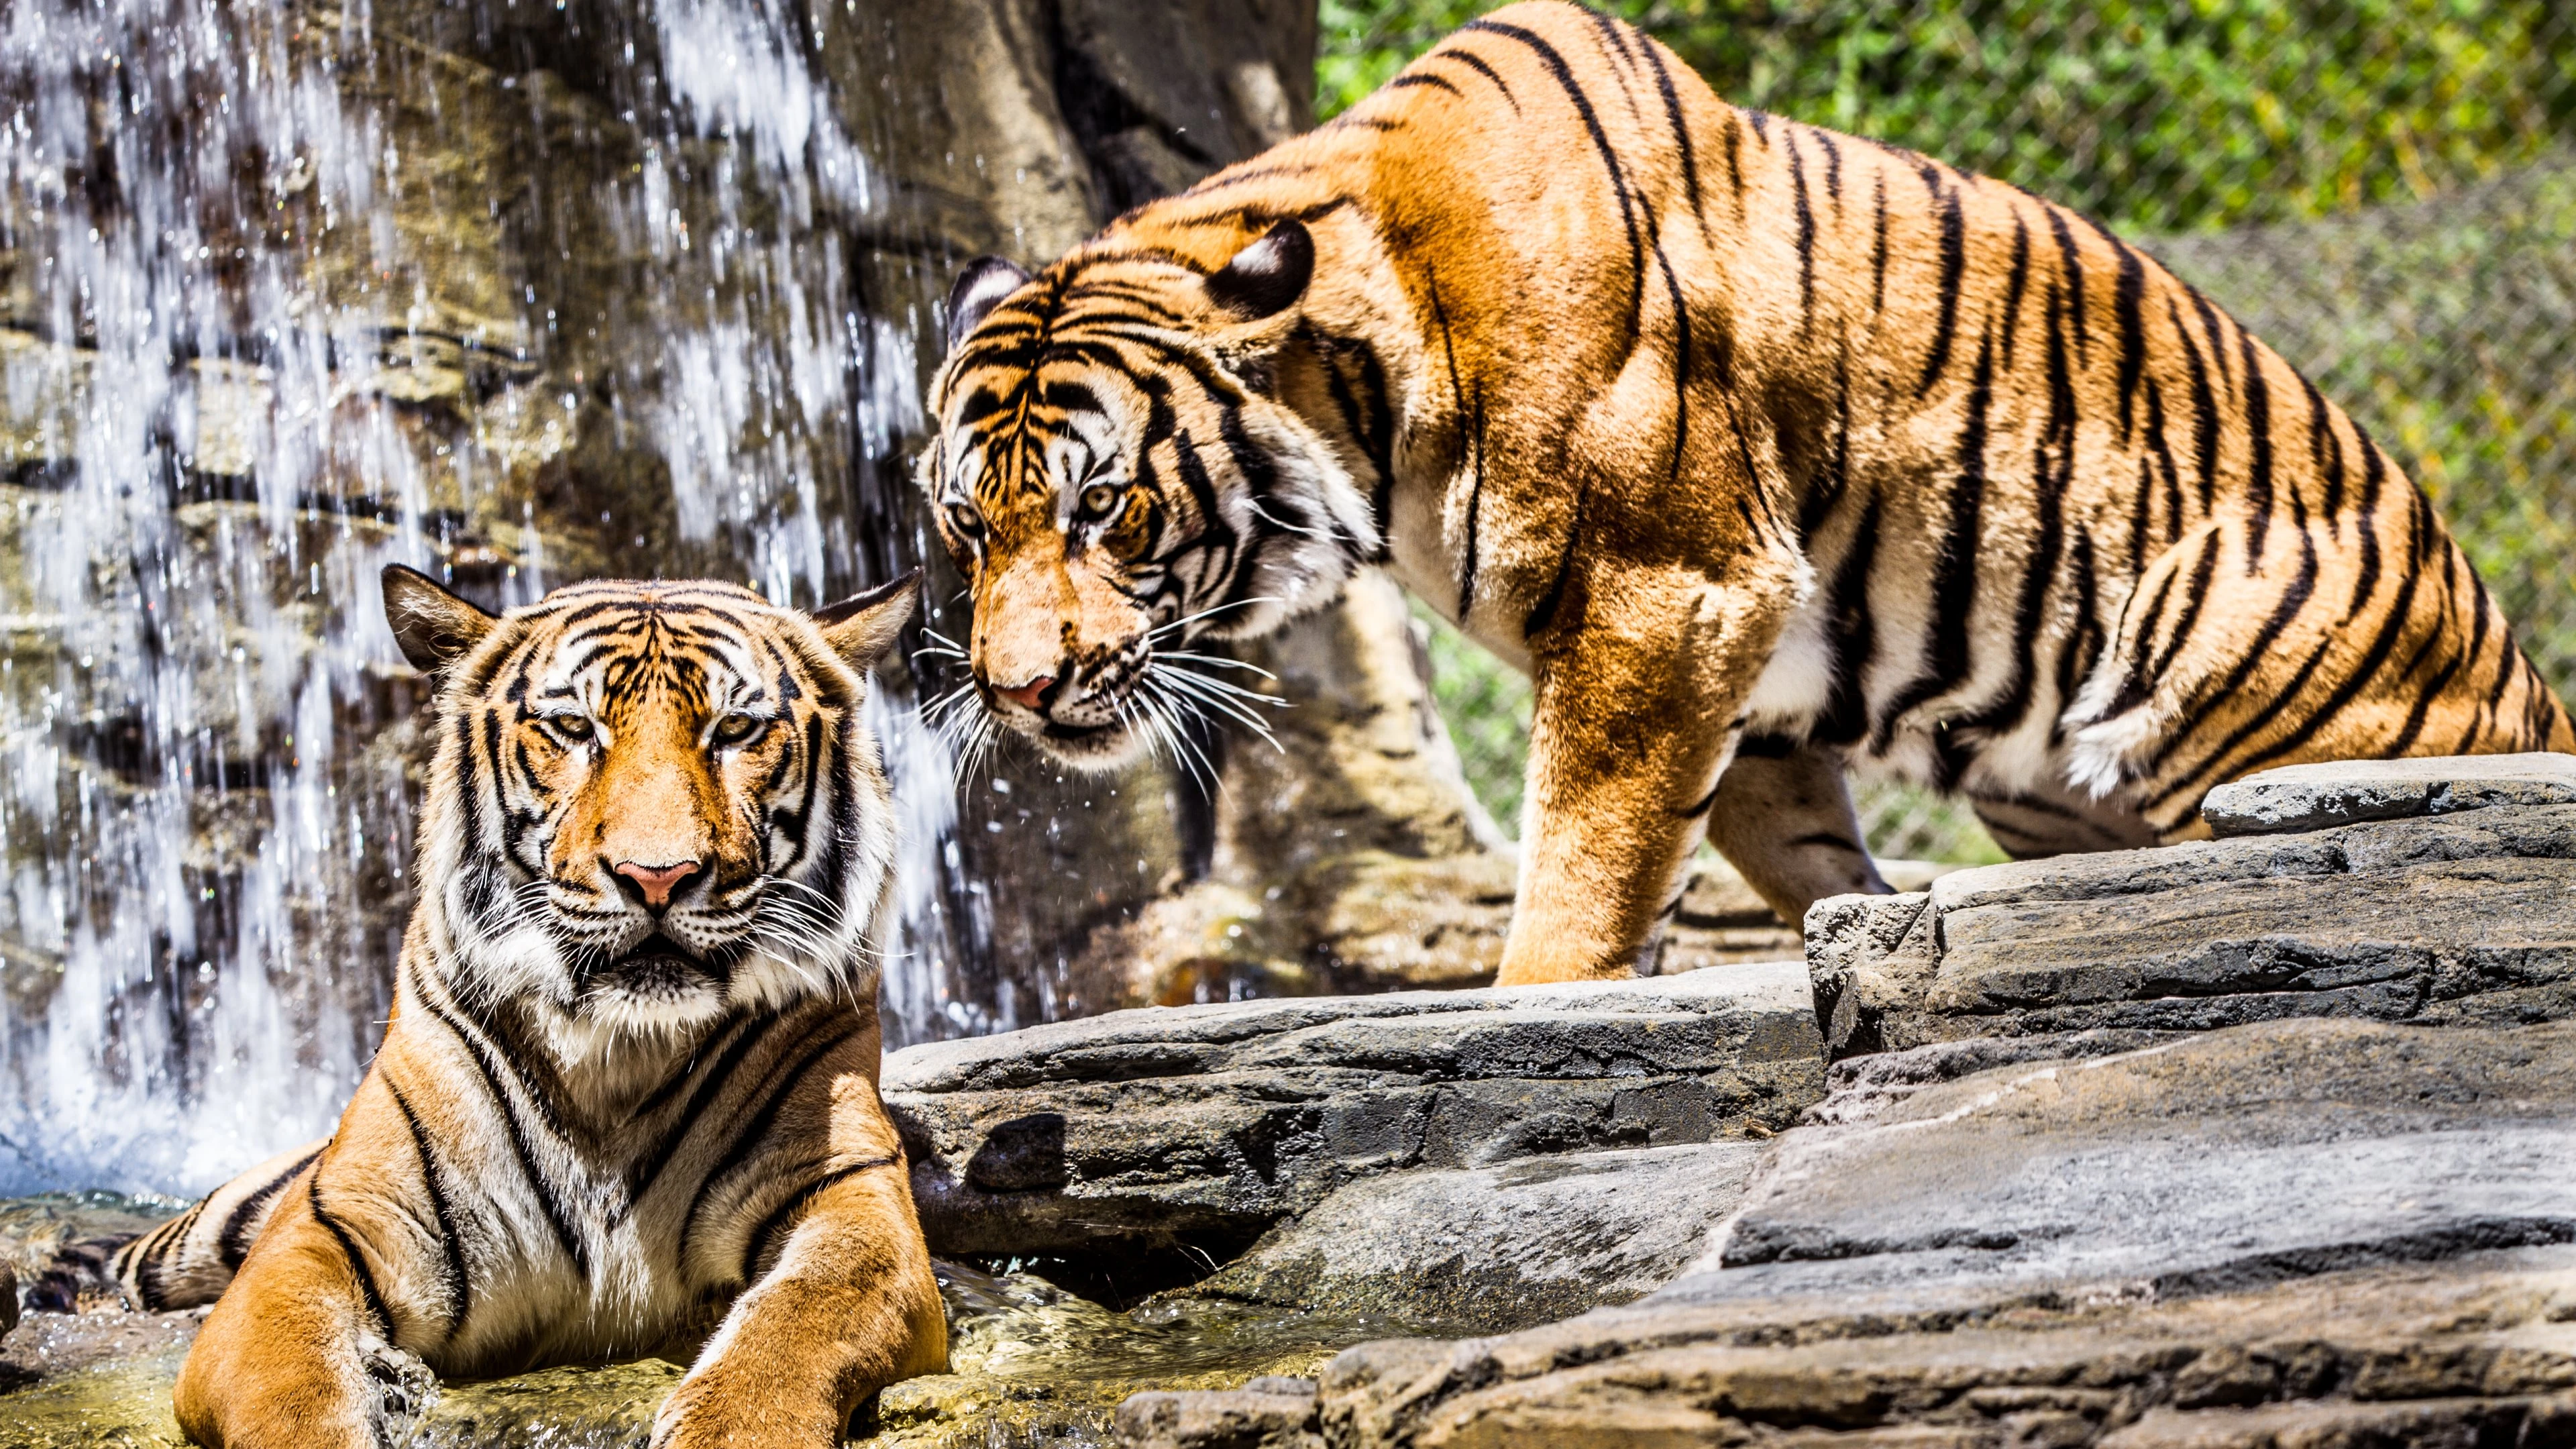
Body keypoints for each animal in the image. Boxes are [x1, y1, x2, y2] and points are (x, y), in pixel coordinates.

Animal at [78, 567, 947, 1448]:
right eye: (572, 728)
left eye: (735, 729)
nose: (658, 876)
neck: (620, 1057)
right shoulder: (325, 1232)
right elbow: (295, 1393)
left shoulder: (848, 1200)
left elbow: (794, 1327)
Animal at [918, 0, 2575, 987]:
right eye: (968, 525)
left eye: (1104, 509)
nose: (1014, 690)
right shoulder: (1759, 684)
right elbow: (1768, 857)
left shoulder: (1668, 594)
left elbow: (1580, 874)